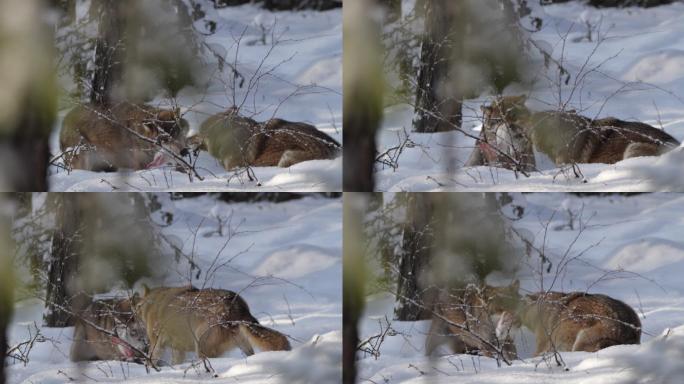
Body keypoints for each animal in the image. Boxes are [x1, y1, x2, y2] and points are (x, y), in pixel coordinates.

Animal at [136, 284, 292, 366]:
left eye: (137, 306)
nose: (133, 315)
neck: (153, 302)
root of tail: (235, 304)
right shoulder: (178, 349)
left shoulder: (156, 344)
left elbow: (151, 359)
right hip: (244, 346)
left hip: (200, 346)